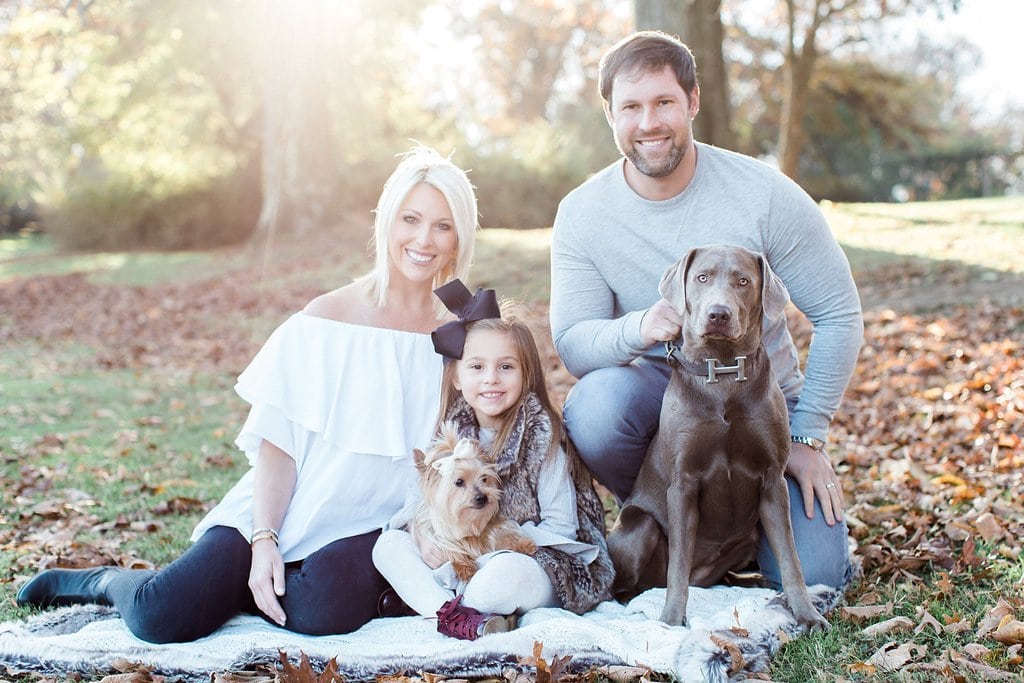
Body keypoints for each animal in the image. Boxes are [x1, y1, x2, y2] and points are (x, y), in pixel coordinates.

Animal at [407, 421, 536, 581]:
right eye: (459, 482)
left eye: (484, 478)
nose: (482, 497)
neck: (470, 522)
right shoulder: (440, 536)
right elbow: (451, 549)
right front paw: (464, 567)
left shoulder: (492, 527)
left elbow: (502, 534)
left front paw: (523, 544)